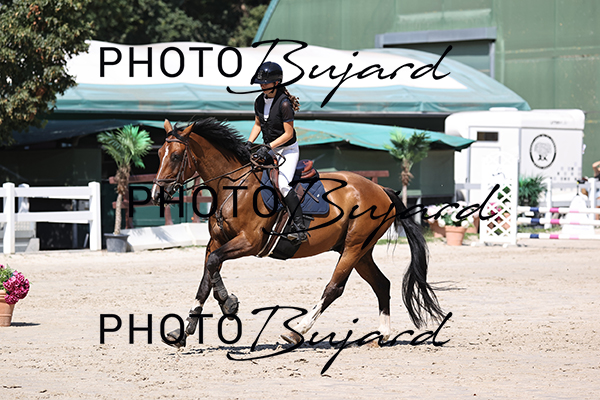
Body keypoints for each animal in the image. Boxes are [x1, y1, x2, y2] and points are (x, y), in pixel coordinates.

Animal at [151, 117, 445, 348]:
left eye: (175, 156)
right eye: (159, 153)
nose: (156, 194)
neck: (233, 187)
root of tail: (382, 189)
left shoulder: (249, 242)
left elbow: (212, 266)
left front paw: (225, 305)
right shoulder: (216, 241)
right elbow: (208, 275)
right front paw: (186, 329)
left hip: (354, 247)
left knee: (334, 288)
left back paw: (296, 332)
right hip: (361, 252)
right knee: (381, 284)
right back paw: (382, 335)